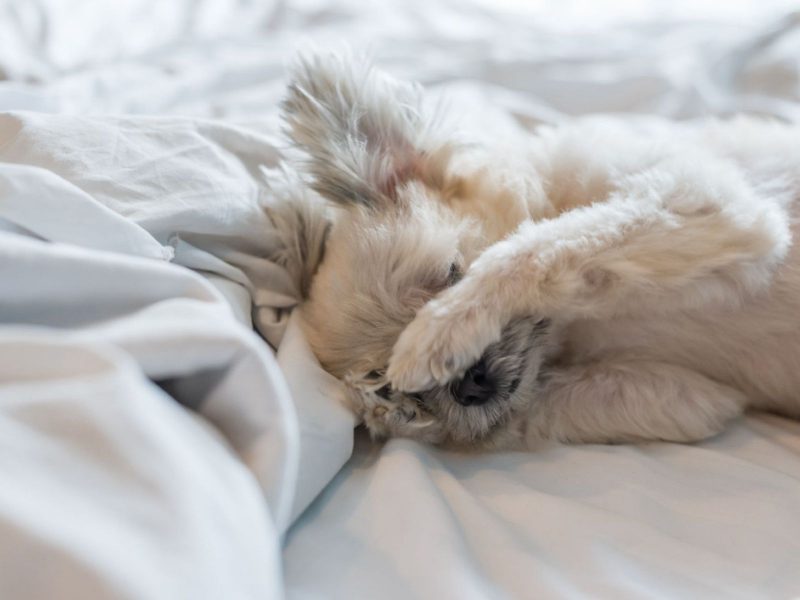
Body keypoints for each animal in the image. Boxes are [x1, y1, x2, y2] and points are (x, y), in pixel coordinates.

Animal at [270, 54, 800, 450]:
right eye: (389, 385)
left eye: (451, 273)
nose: (468, 383)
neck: (579, 323)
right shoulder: (688, 397)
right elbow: (525, 410)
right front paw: (395, 415)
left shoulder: (710, 204)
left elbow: (547, 243)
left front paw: (442, 328)